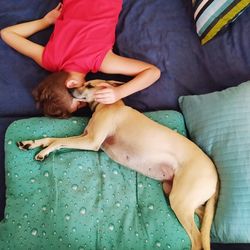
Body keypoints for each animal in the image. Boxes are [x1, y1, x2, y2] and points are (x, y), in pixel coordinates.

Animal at [17, 79, 219, 249]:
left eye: (89, 85)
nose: (69, 89)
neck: (107, 104)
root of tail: (216, 175)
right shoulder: (85, 136)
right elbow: (53, 138)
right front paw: (31, 143)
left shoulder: (91, 141)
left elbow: (58, 141)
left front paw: (43, 151)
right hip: (174, 193)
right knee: (203, 218)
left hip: (179, 200)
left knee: (197, 238)